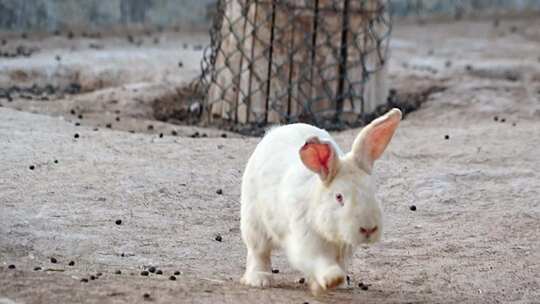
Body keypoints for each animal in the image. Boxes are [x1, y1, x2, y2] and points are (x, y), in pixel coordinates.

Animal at [239, 108, 400, 294]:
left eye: (373, 190)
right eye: (339, 197)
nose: (369, 229)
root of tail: (277, 131)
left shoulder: (343, 248)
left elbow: (339, 264)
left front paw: (338, 283)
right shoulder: (306, 244)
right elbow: (320, 261)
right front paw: (333, 279)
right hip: (254, 223)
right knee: (258, 252)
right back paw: (260, 279)